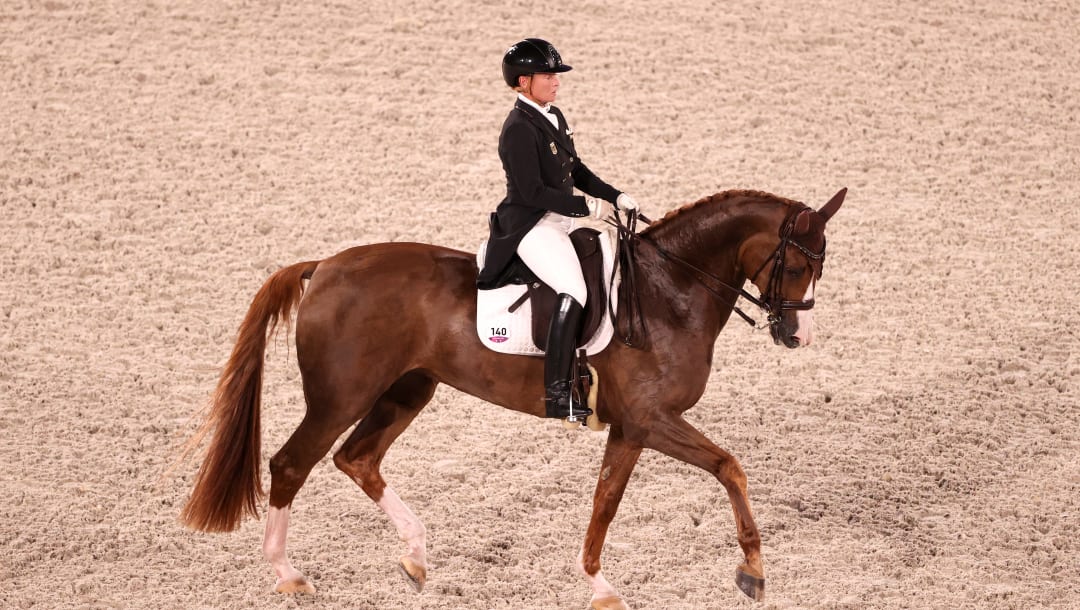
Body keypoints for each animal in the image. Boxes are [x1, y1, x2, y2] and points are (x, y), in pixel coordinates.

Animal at [181, 187, 846, 604]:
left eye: (821, 265)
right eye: (795, 266)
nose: (798, 335)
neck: (669, 290)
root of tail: (324, 267)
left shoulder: (632, 428)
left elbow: (610, 502)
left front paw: (601, 585)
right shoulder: (649, 421)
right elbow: (722, 469)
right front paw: (750, 573)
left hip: (408, 389)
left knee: (357, 458)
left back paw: (416, 556)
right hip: (340, 397)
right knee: (292, 464)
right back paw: (289, 576)